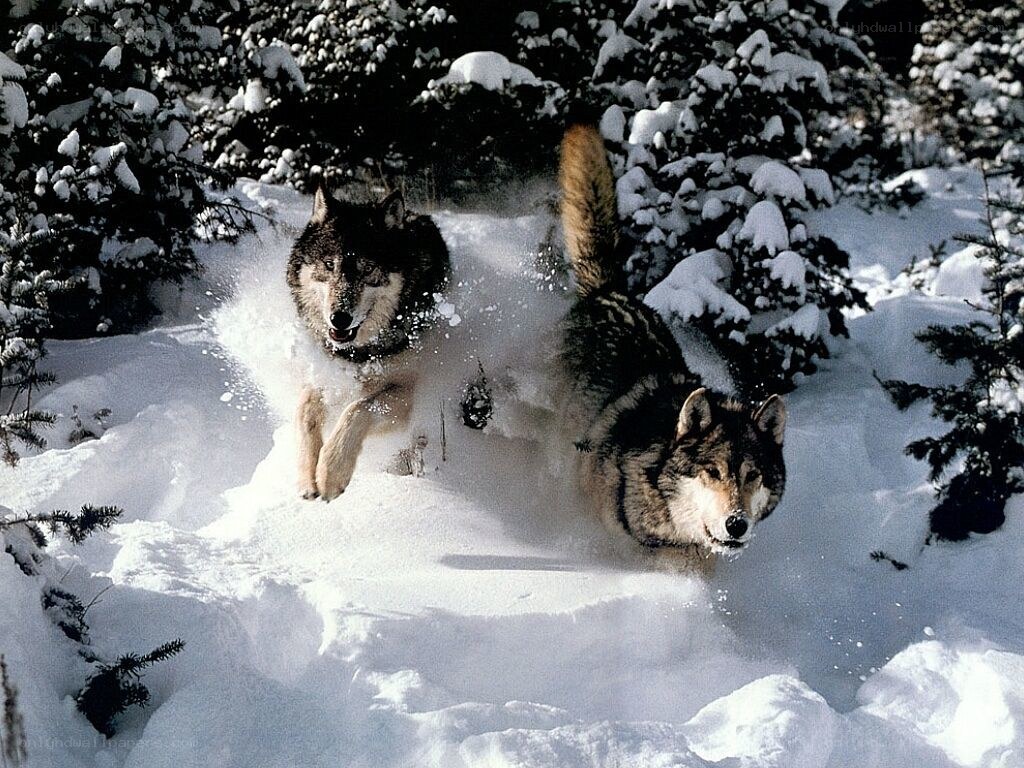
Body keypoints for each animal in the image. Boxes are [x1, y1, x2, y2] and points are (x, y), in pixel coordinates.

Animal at [287, 185, 450, 501]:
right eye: (329, 265)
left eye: (367, 269)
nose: (340, 318)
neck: (358, 353)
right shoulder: (323, 375)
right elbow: (304, 413)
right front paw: (305, 477)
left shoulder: (407, 392)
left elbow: (358, 408)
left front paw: (331, 472)